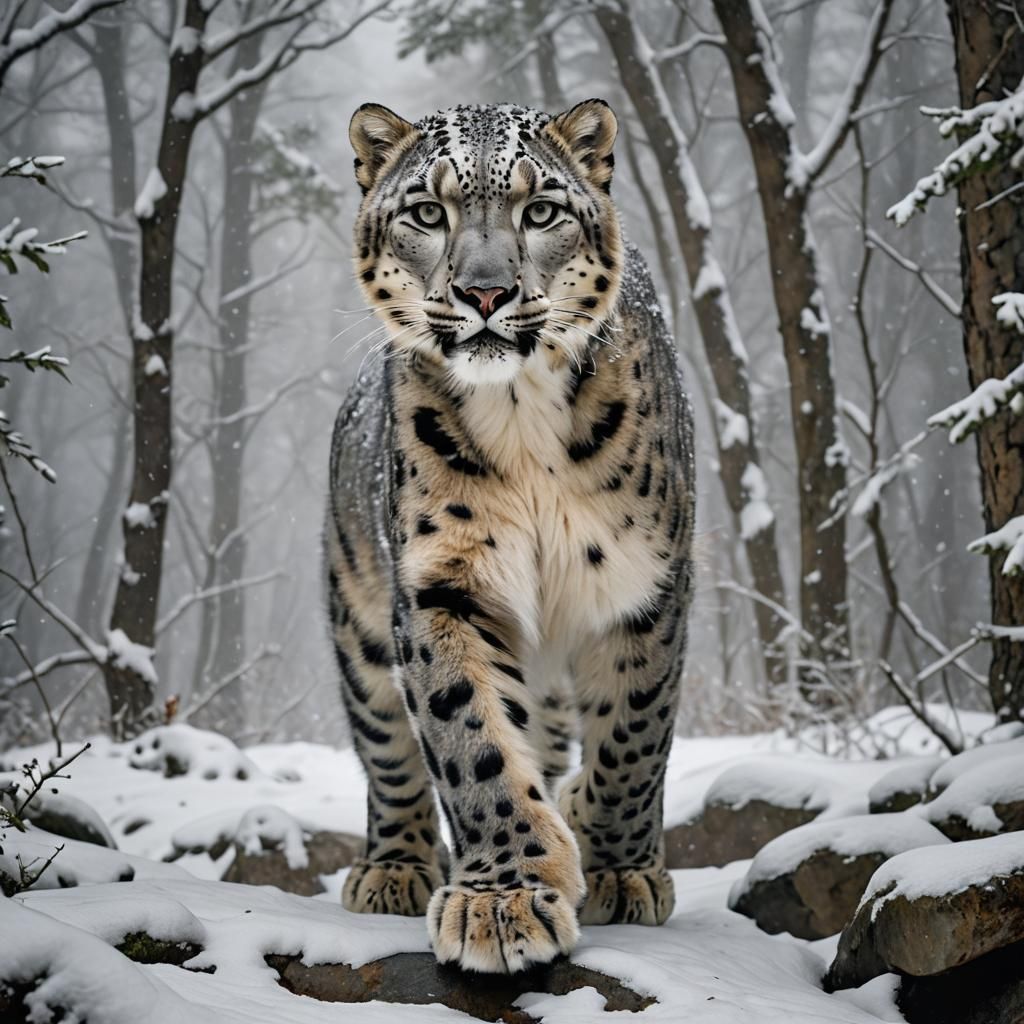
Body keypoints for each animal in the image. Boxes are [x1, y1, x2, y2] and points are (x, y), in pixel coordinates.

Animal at [324, 99, 695, 974]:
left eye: (542, 211)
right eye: (428, 212)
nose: (485, 292)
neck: (521, 418)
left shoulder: (647, 582)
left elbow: (634, 734)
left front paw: (615, 862)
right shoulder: (444, 584)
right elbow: (472, 737)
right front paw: (505, 900)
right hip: (357, 628)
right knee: (388, 752)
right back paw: (393, 869)